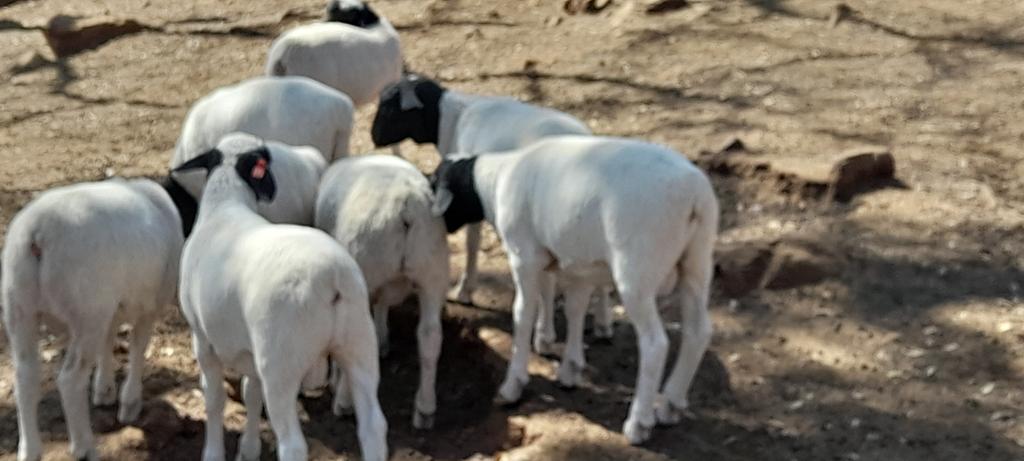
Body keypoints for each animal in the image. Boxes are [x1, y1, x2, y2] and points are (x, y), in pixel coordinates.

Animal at [2, 177, 189, 461]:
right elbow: (138, 349)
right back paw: (84, 447)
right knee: (69, 380)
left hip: (19, 307)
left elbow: (108, 341)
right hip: (85, 312)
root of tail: (37, 233)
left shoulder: (110, 310)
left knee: (25, 377)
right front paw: (129, 403)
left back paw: (29, 449)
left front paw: (104, 390)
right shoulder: (148, 306)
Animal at [173, 132, 387, 461]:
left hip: (281, 361)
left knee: (292, 445)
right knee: (373, 426)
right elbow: (250, 395)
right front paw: (249, 449)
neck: (225, 205)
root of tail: (332, 278)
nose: (273, 191)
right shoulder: (249, 351)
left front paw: (214, 452)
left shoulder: (202, 339)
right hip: (358, 343)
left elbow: (215, 400)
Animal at [314, 154, 448, 429]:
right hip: (432, 272)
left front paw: (335, 381)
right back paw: (425, 408)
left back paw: (344, 403)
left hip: (363, 266)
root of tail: (406, 206)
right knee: (430, 336)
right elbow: (382, 308)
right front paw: (383, 338)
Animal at [369, 73, 604, 352]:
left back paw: (544, 335)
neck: (451, 119)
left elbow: (472, 243)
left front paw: (464, 290)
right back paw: (603, 323)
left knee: (548, 282)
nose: (373, 137)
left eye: (389, 108)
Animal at [429, 135, 719, 445]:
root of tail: (694, 196)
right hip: (697, 262)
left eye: (434, 184)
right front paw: (571, 369)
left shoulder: (524, 256)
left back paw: (638, 423)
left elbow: (523, 314)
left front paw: (513, 385)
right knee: (698, 332)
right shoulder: (579, 265)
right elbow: (575, 310)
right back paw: (671, 405)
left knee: (655, 344)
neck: (494, 183)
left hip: (636, 270)